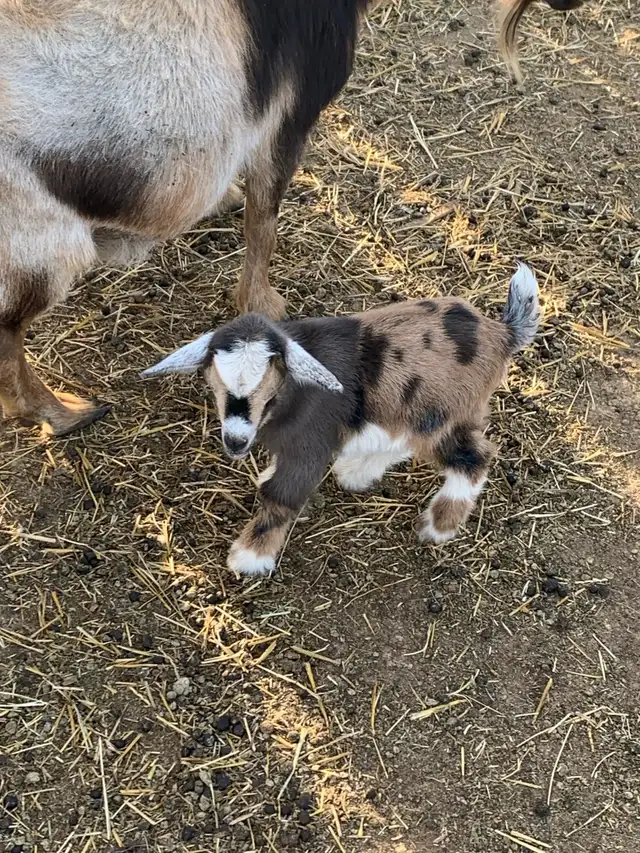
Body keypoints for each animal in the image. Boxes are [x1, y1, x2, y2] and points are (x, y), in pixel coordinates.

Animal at [0, 1, 575, 438]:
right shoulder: (285, 120)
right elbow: (265, 221)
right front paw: (264, 305)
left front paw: (226, 201)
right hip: (38, 250)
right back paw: (63, 412)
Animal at [142, 264, 540, 577]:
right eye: (218, 384)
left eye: (268, 389)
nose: (236, 441)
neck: (294, 394)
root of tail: (502, 334)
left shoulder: (309, 446)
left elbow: (282, 495)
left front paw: (250, 556)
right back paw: (357, 472)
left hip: (443, 417)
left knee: (475, 457)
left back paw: (438, 525)